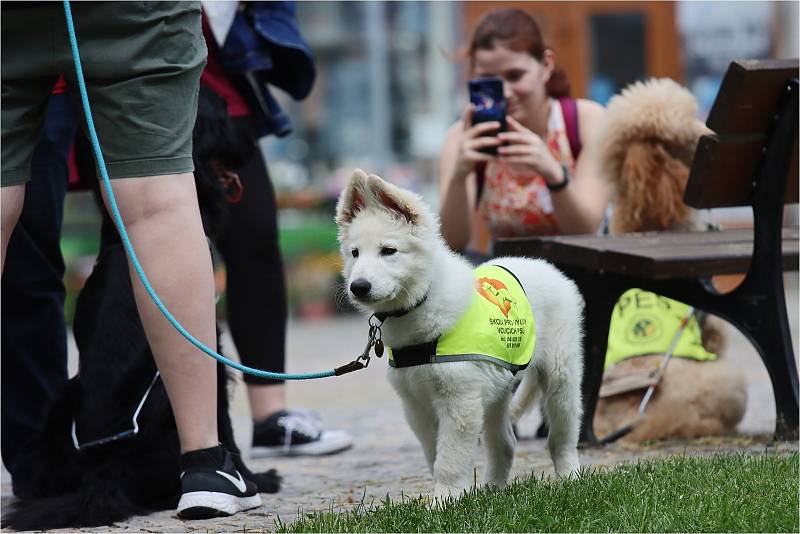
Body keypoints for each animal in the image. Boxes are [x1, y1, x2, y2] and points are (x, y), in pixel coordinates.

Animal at [3, 88, 278, 532]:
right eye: (222, 110)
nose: (255, 140)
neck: (122, 235)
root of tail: (107, 471)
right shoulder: (212, 346)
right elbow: (224, 423)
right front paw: (256, 479)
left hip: (60, 403)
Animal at [334, 171, 584, 498]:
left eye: (388, 251)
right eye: (354, 253)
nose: (358, 287)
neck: (422, 300)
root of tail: (545, 266)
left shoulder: (459, 400)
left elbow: (449, 459)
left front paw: (444, 498)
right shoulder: (416, 405)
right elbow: (434, 454)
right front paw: (450, 498)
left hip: (559, 375)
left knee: (562, 434)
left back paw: (569, 477)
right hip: (497, 388)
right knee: (505, 443)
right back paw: (493, 491)